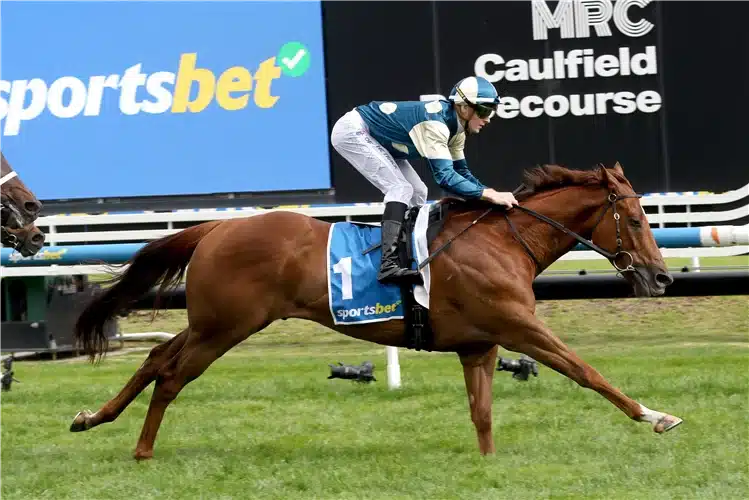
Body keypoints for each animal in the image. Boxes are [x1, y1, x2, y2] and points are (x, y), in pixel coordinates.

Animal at [69, 162, 683, 460]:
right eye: (634, 218)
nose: (661, 277)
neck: (503, 241)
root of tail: (216, 227)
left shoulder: (479, 345)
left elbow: (482, 416)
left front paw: (488, 466)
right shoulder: (519, 327)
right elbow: (587, 371)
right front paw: (656, 416)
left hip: (210, 323)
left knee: (155, 358)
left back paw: (92, 417)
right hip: (225, 327)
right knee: (172, 376)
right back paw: (142, 449)